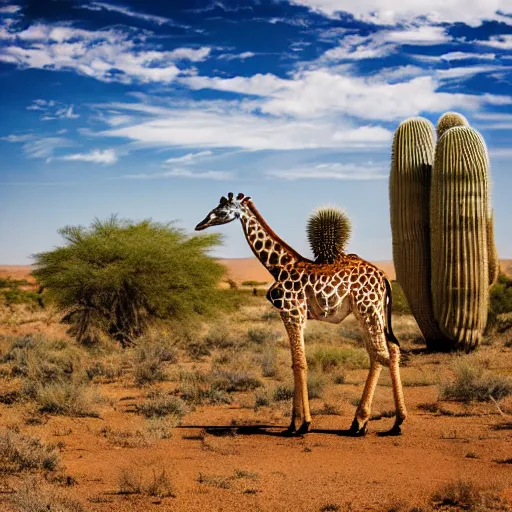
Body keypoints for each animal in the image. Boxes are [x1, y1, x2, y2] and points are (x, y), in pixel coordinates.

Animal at [194, 192, 406, 436]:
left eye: (220, 210)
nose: (199, 225)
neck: (278, 267)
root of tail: (384, 277)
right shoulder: (295, 315)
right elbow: (297, 362)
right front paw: (297, 423)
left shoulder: (291, 312)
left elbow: (299, 363)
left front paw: (299, 424)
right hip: (374, 311)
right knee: (389, 349)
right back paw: (394, 422)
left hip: (367, 308)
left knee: (380, 353)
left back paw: (361, 422)